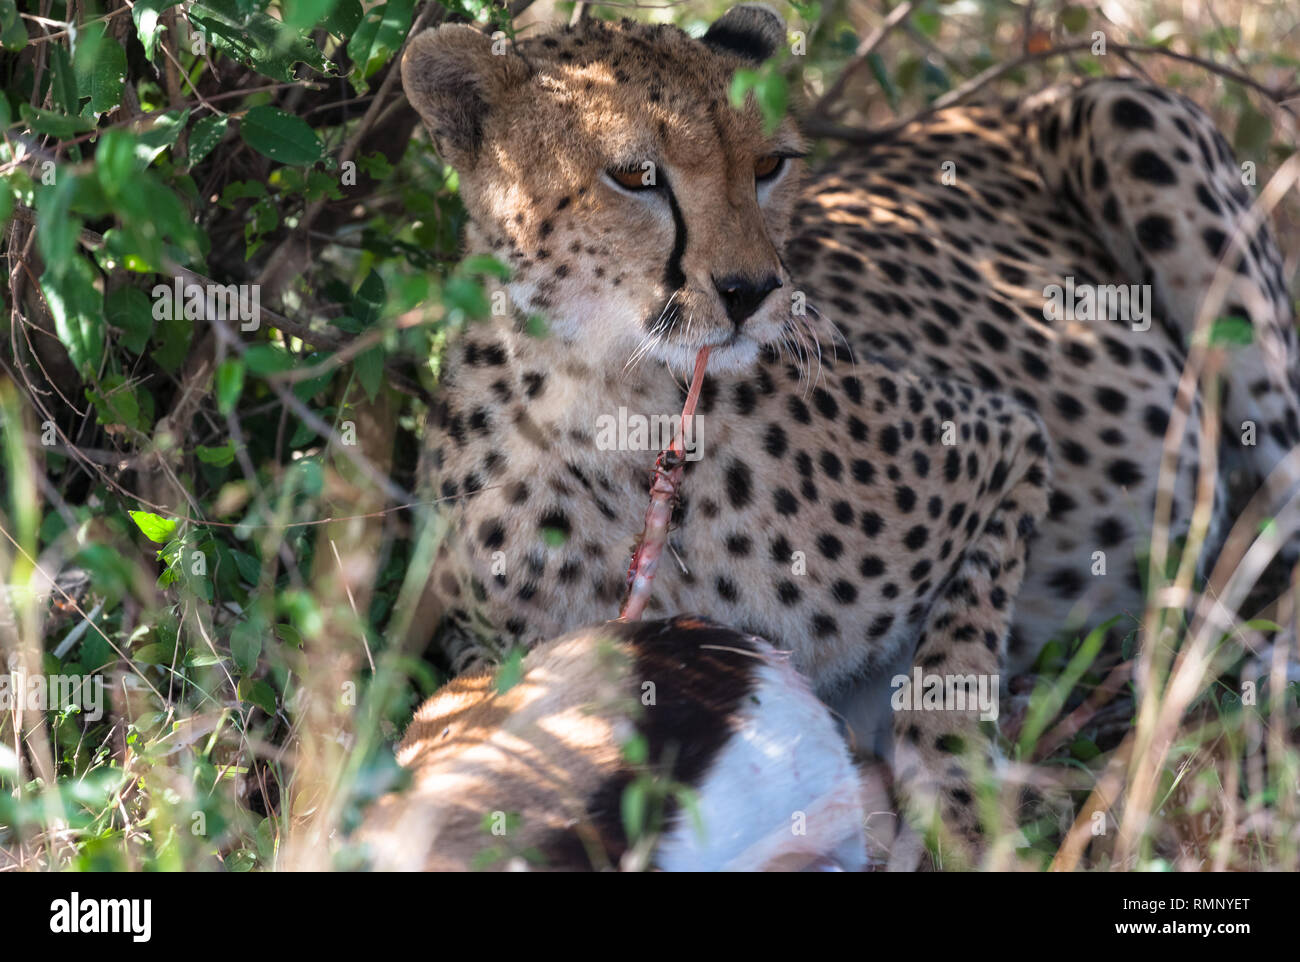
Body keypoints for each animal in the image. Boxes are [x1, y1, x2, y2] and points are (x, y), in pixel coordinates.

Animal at [397, 5, 1300, 863]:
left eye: (769, 166)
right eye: (634, 176)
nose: (752, 289)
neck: (614, 403)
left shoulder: (1006, 443)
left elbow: (949, 677)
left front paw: (966, 814)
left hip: (1131, 115)